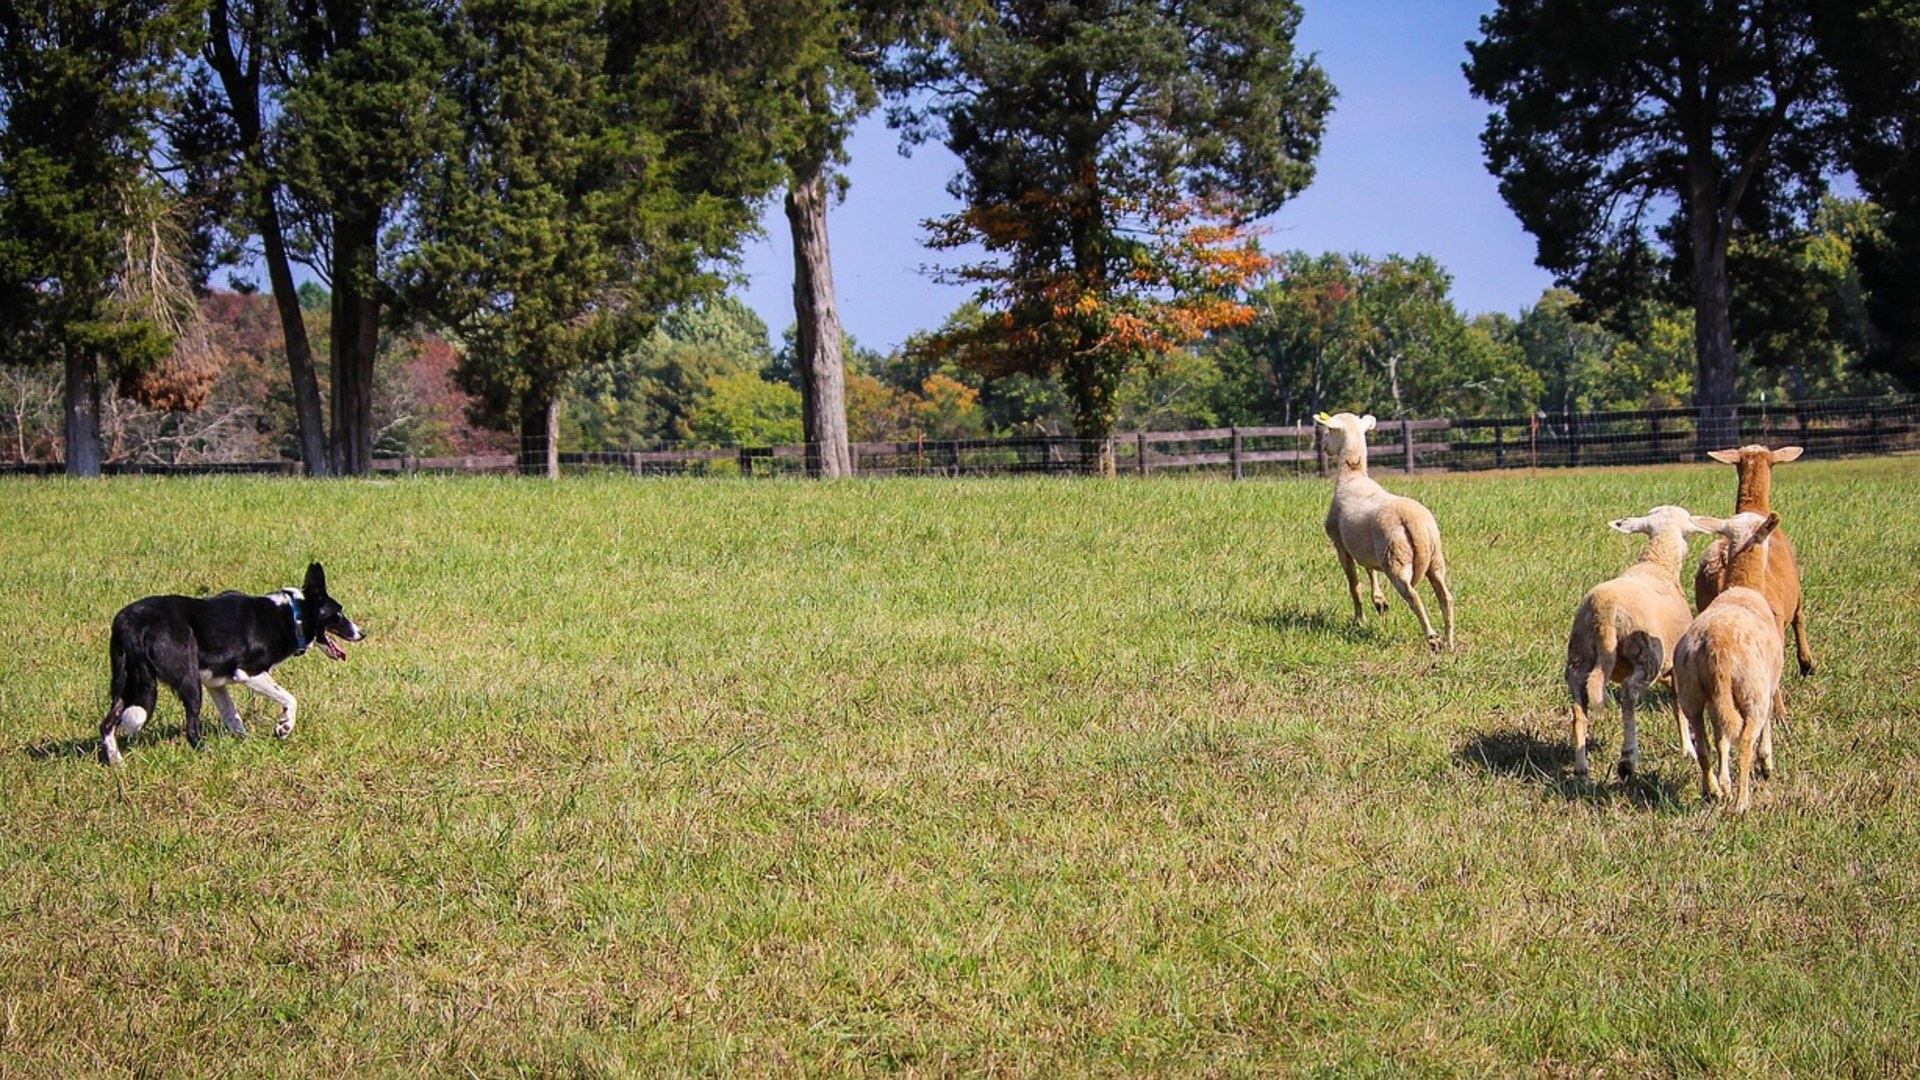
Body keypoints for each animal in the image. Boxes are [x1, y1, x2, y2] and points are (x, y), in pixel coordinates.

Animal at [1313, 411, 1455, 652]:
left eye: (1330, 430)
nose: (1324, 446)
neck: (1353, 475)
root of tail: (1413, 521)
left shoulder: (1340, 544)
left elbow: (1355, 585)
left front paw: (1360, 620)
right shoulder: (1366, 548)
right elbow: (1371, 571)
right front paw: (1379, 601)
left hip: (1395, 557)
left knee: (1413, 596)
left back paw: (1433, 638)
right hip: (1435, 558)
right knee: (1446, 597)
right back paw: (1450, 641)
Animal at [1564, 505, 1699, 779]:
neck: (1657, 564)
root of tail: (1604, 610)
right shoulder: (1677, 666)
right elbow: (1679, 707)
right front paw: (1688, 751)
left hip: (1578, 658)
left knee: (1578, 710)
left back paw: (1582, 768)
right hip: (1648, 657)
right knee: (1628, 693)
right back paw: (1628, 759)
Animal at [1672, 511, 1787, 813]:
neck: (1743, 587)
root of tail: (1717, 647)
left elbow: (1721, 738)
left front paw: (1723, 784)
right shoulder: (1770, 685)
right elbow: (1766, 724)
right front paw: (1767, 762)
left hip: (1692, 691)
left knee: (1704, 744)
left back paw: (1713, 789)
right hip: (1751, 690)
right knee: (1746, 742)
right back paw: (1741, 802)